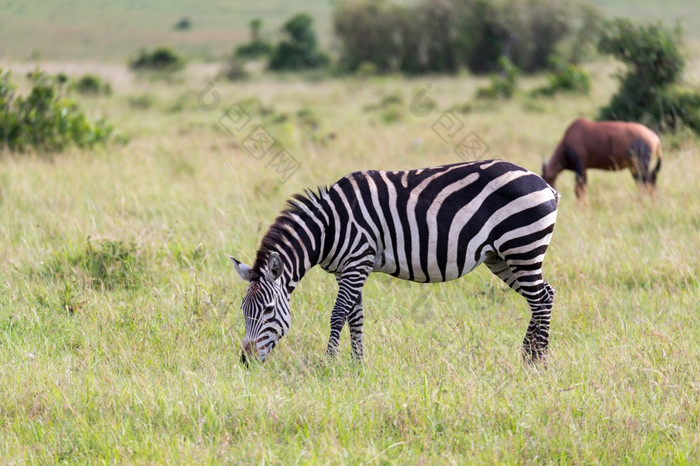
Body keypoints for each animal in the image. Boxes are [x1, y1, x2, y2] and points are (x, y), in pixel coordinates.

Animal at [232, 159, 560, 364]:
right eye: (243, 311)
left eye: (269, 310)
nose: (246, 361)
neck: (329, 228)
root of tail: (544, 184)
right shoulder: (348, 270)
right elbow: (356, 316)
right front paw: (357, 365)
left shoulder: (357, 262)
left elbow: (338, 314)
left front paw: (328, 361)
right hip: (502, 257)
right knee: (543, 295)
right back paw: (526, 356)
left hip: (523, 245)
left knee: (541, 299)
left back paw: (538, 361)